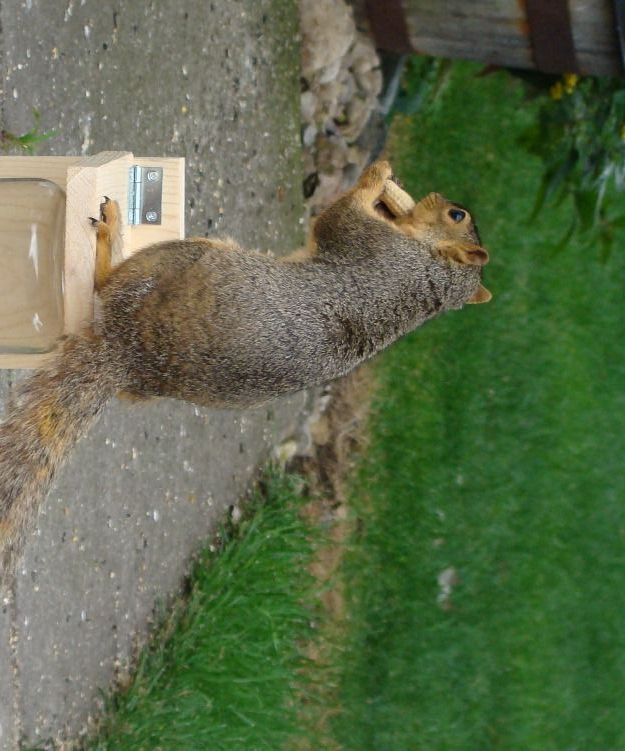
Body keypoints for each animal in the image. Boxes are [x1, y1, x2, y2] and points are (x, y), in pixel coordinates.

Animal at [0, 160, 491, 579]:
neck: (432, 274)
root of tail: (125, 351)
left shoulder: (373, 248)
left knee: (102, 284)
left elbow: (339, 216)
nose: (439, 194)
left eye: (455, 214)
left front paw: (375, 175)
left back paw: (110, 231)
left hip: (181, 260)